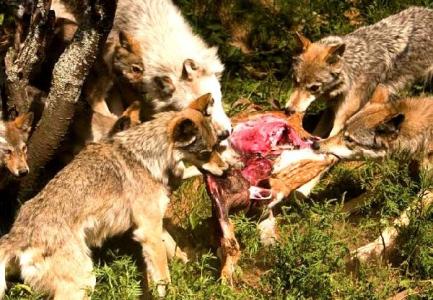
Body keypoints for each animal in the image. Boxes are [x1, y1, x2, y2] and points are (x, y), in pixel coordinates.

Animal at [0, 93, 228, 298]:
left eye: (216, 146)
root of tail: (17, 235)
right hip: (84, 282)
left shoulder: (153, 225)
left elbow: (175, 250)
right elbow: (163, 275)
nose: (226, 170)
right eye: (205, 153)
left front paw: (190, 267)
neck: (148, 159)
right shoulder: (149, 231)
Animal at [286, 6, 433, 137]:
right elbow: (317, 132)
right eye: (294, 81)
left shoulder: (343, 117)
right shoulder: (331, 110)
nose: (288, 110)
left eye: (314, 88)